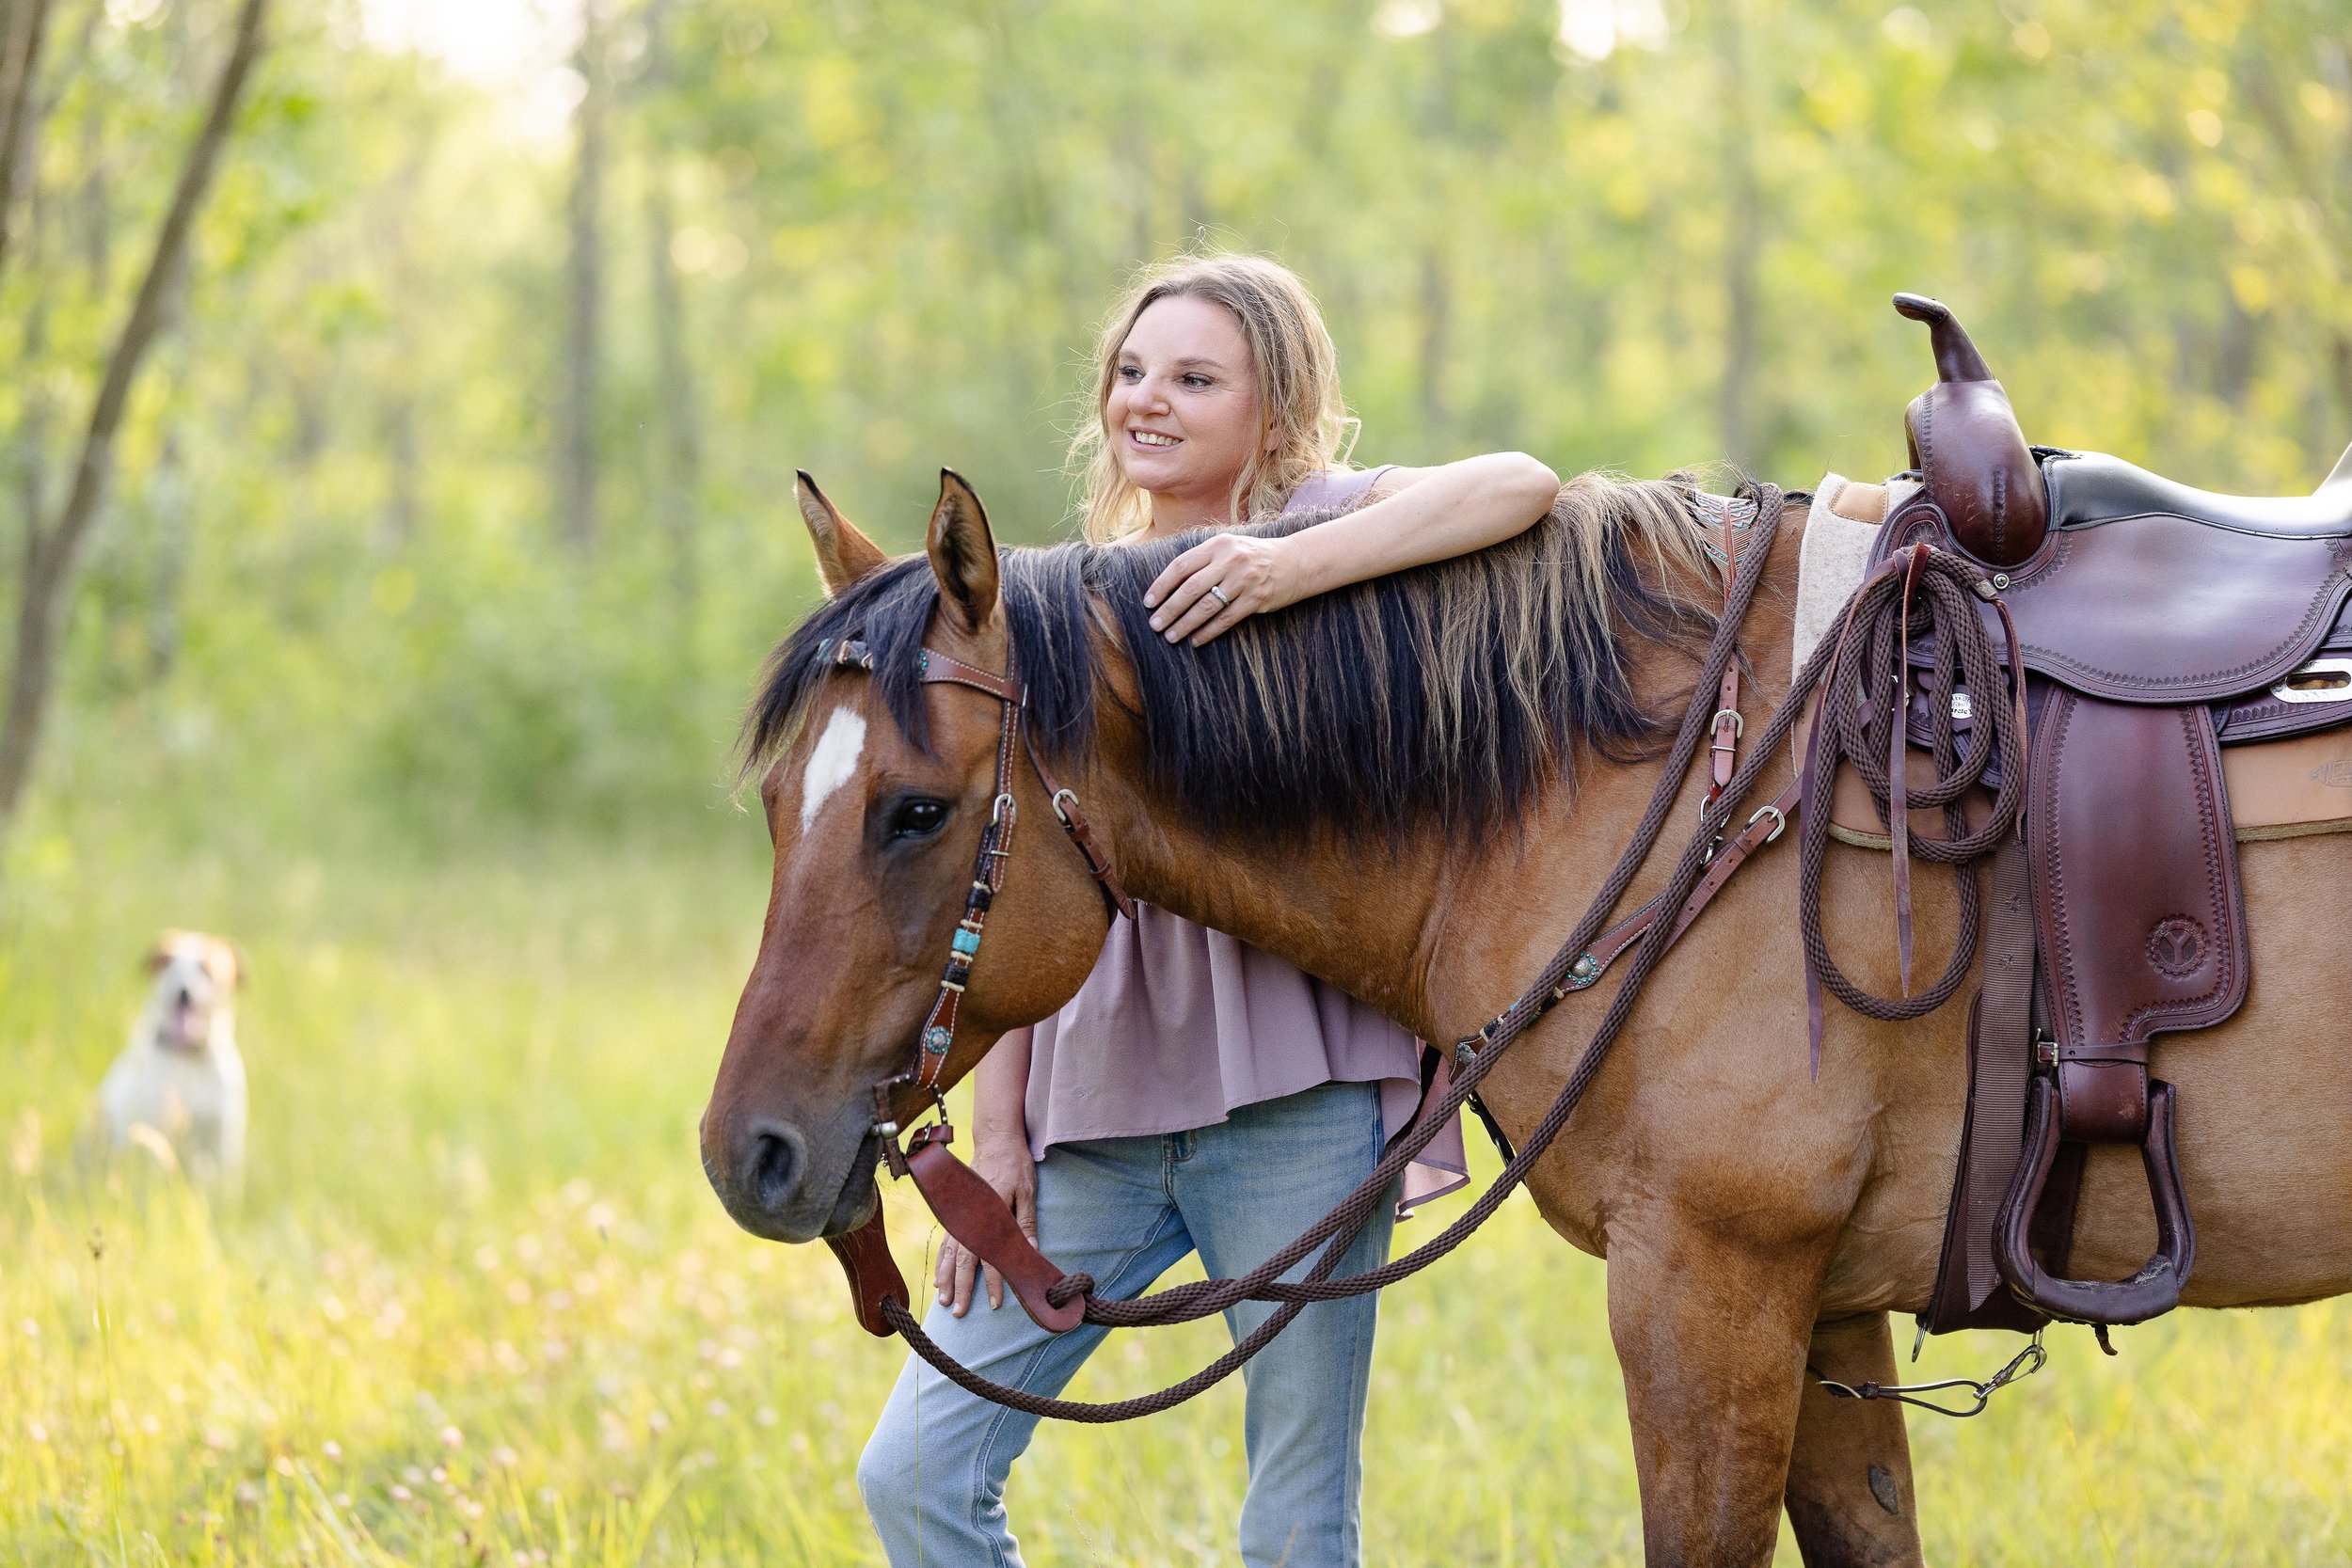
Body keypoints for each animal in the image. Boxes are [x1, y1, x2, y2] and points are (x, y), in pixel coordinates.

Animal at [95, 926, 246, 1184]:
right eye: (166, 963)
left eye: (206, 969)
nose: (183, 991)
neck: (190, 1058)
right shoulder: (157, 1130)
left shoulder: (223, 1141)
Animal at [706, 465, 2352, 1568]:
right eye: (779, 805)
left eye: (916, 811)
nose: (750, 1153)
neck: (1675, 786)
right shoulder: (1822, 1305)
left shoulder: (1706, 1288)